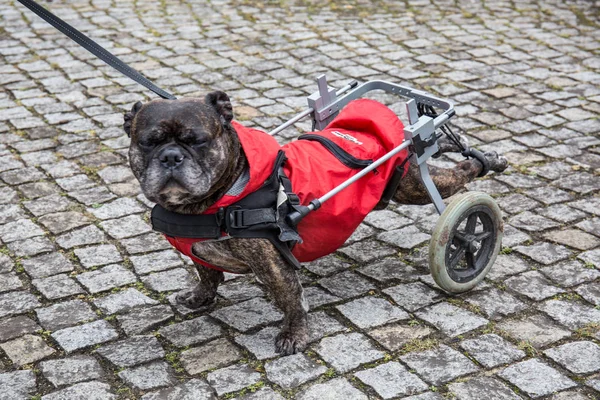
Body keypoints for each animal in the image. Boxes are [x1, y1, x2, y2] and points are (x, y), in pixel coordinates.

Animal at [124, 92, 508, 354]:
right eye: (147, 142)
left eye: (197, 141)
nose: (171, 156)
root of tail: (398, 130)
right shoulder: (197, 251)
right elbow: (207, 274)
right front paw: (200, 296)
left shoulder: (273, 265)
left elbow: (291, 299)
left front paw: (293, 336)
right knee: (441, 151)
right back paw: (451, 141)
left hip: (413, 186)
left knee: (459, 177)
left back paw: (487, 163)